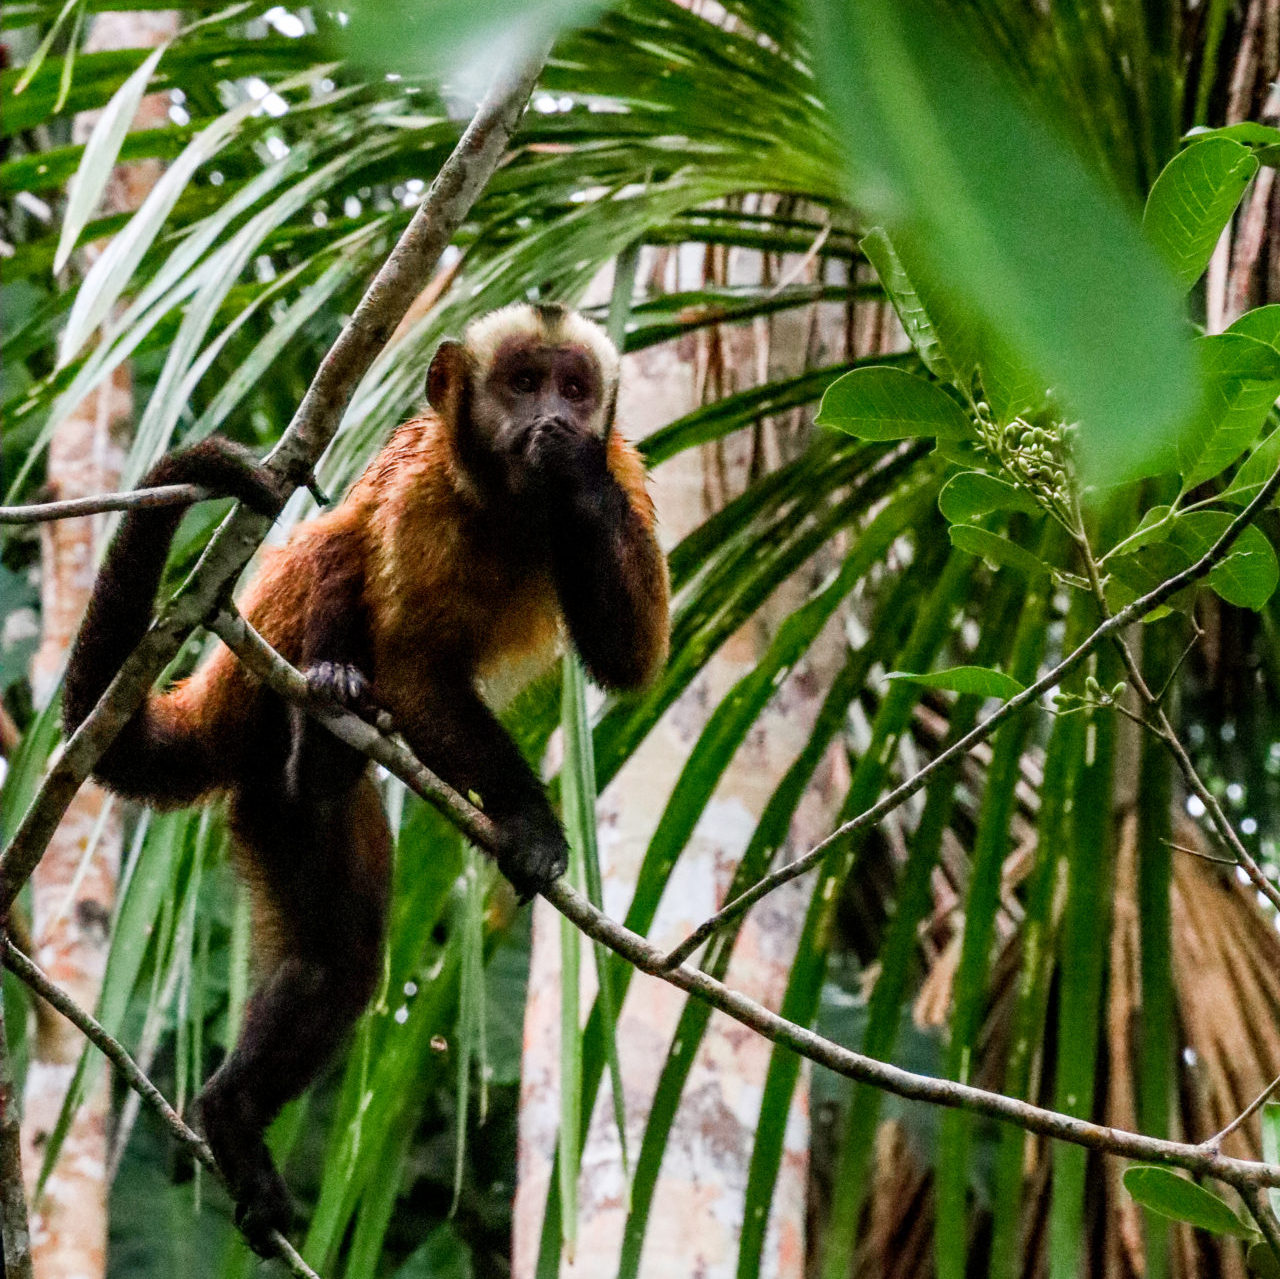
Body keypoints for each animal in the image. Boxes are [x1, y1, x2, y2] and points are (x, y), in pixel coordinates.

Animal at [61, 302, 669, 1251]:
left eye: (573, 387)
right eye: (522, 383)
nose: (553, 417)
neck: (508, 502)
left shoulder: (624, 472)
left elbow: (634, 655)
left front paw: (570, 470)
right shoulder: (423, 492)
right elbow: (416, 669)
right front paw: (530, 822)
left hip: (271, 808)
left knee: (337, 963)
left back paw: (232, 1107)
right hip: (272, 649)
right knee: (334, 545)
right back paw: (327, 717)